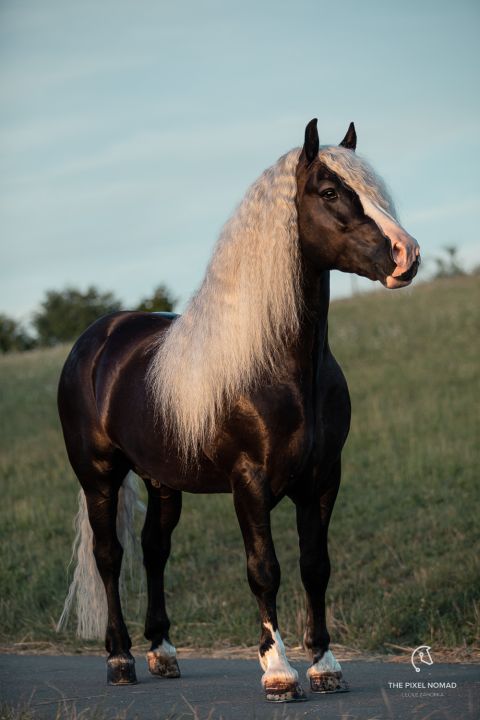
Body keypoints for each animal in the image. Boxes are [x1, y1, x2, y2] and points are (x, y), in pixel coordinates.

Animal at [56, 119, 420, 704]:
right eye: (329, 192)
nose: (407, 255)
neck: (279, 366)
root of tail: (98, 337)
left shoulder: (323, 479)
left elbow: (316, 566)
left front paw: (326, 665)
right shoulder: (249, 482)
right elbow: (264, 569)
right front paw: (279, 671)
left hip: (163, 482)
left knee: (154, 550)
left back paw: (163, 653)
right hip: (100, 477)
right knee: (110, 556)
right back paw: (120, 658)